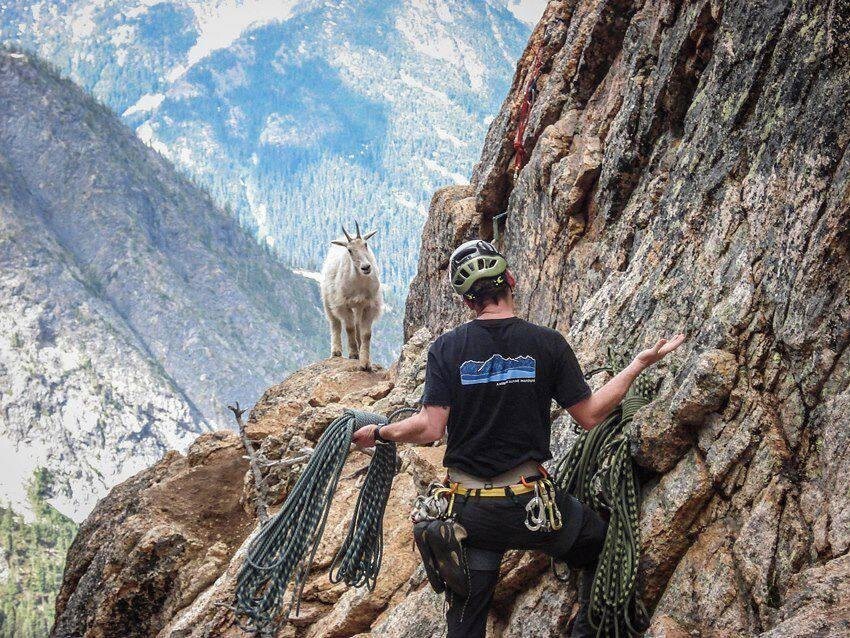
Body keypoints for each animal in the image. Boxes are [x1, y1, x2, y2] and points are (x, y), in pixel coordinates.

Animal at [320, 222, 382, 372]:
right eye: (349, 250)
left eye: (366, 244)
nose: (366, 267)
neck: (359, 283)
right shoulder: (343, 304)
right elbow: (349, 328)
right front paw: (353, 354)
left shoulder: (369, 305)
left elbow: (366, 334)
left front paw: (365, 363)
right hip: (327, 300)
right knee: (335, 323)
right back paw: (336, 351)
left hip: (358, 307)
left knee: (357, 324)